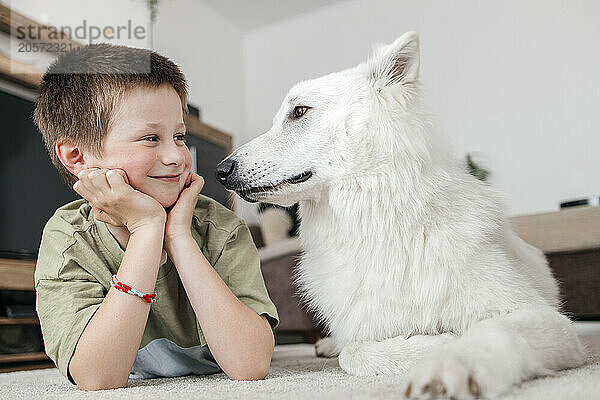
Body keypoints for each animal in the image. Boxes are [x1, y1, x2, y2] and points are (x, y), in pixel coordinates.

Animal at [217, 32, 584, 400]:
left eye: (300, 111)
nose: (221, 170)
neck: (376, 223)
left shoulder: (548, 320)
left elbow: (490, 331)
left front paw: (450, 362)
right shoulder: (362, 326)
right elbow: (354, 352)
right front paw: (433, 342)